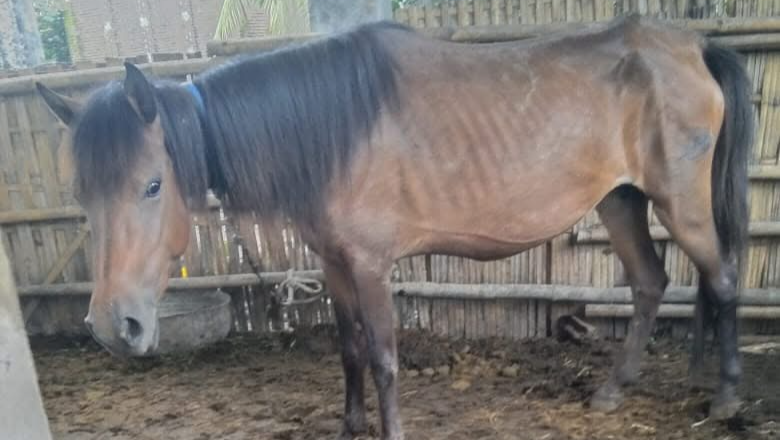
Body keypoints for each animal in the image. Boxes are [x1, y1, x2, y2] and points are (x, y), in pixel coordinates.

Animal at [36, 13, 753, 440]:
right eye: (81, 194)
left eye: (152, 185)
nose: (113, 326)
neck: (333, 130)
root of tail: (693, 45)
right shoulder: (332, 262)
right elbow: (349, 346)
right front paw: (351, 425)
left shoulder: (372, 264)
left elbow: (382, 356)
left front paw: (388, 429)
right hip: (621, 199)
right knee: (650, 283)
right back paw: (612, 391)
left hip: (680, 204)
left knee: (722, 279)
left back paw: (726, 398)